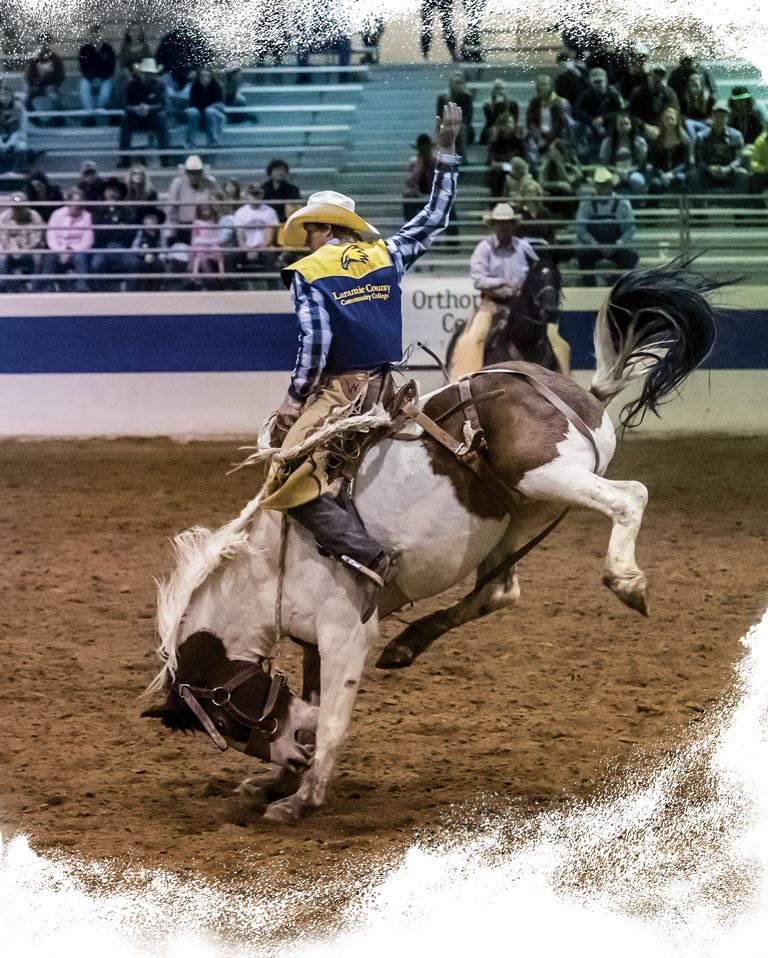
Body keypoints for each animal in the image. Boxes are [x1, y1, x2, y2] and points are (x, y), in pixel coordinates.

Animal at [142, 260, 720, 824]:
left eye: (229, 720)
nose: (289, 758)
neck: (268, 569)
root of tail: (583, 394)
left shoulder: (344, 634)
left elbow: (330, 722)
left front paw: (301, 798)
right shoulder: (313, 643)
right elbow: (312, 706)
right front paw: (277, 781)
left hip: (548, 477)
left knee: (630, 497)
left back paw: (626, 581)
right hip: (521, 514)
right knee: (500, 590)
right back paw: (407, 644)